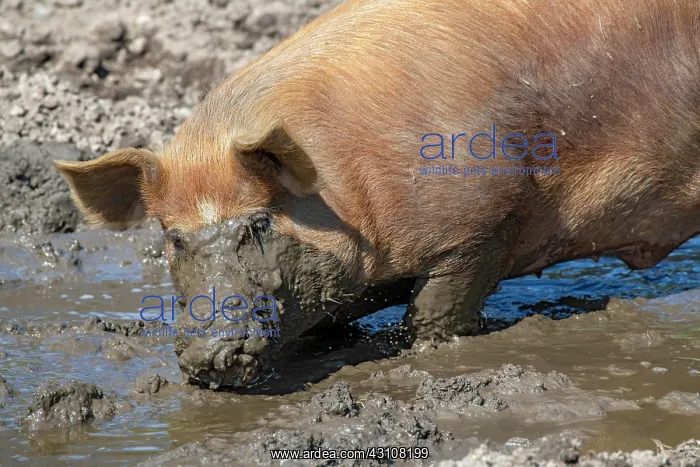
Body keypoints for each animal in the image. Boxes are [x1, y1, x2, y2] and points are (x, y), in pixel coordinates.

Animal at [55, 0, 700, 387]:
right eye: (173, 238)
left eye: (259, 223)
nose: (207, 353)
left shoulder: (482, 226)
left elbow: (434, 313)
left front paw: (430, 353)